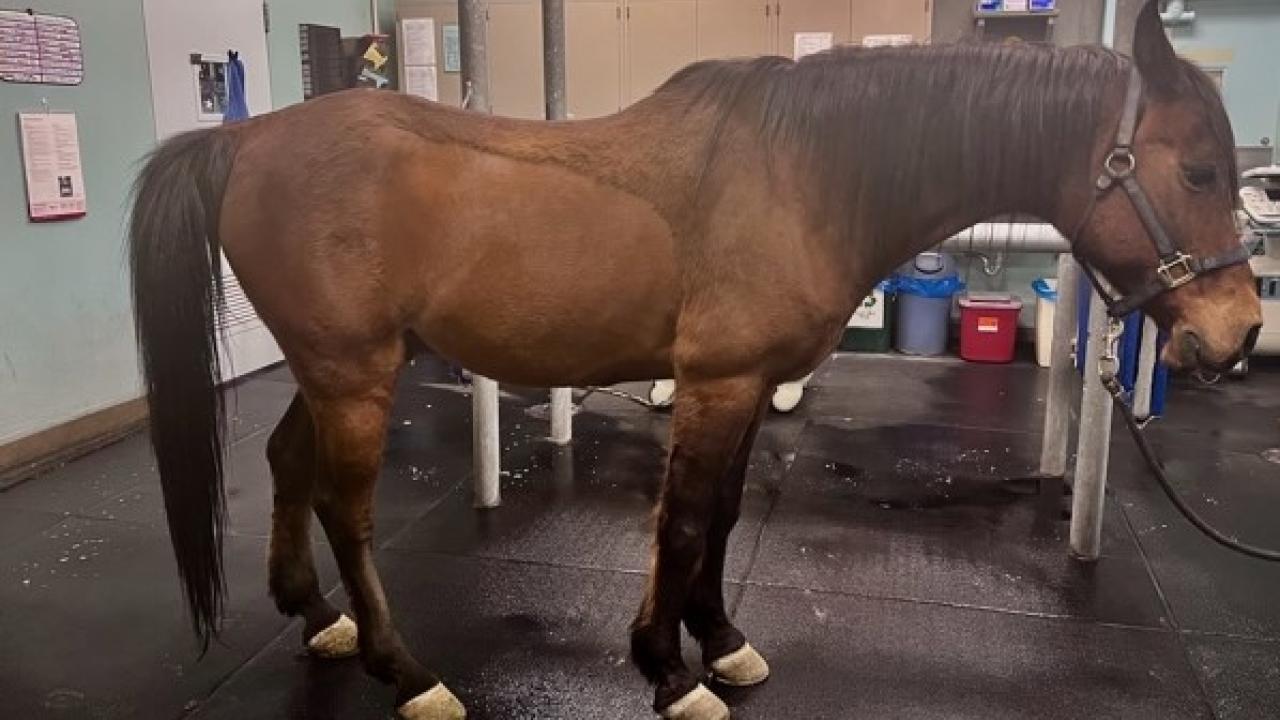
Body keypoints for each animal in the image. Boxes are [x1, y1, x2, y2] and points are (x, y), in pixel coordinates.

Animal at [129, 2, 1259, 712]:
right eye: (1200, 170)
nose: (1238, 333)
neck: (805, 172)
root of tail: (248, 139)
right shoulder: (715, 384)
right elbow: (677, 524)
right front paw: (669, 675)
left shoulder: (748, 389)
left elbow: (716, 519)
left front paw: (720, 643)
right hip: (355, 376)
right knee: (344, 509)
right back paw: (406, 673)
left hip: (335, 371)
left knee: (285, 466)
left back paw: (315, 617)